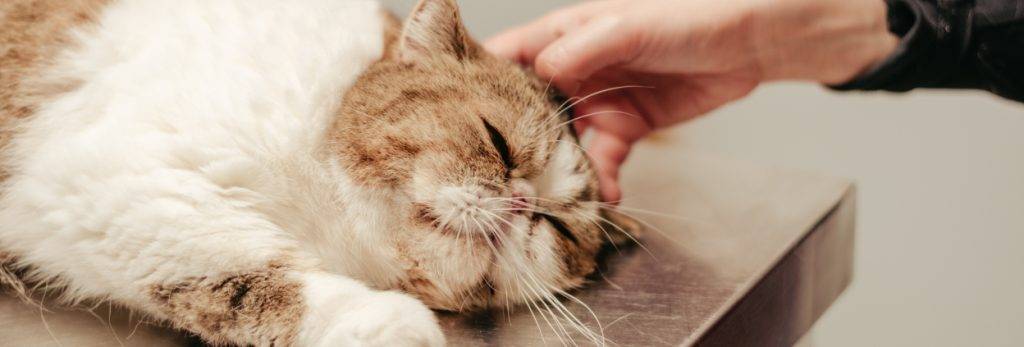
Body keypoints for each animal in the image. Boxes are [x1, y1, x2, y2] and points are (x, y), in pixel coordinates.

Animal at [0, 0, 638, 345]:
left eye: (557, 226)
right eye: (497, 141)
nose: (524, 200)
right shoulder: (102, 181)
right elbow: (247, 270)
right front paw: (387, 322)